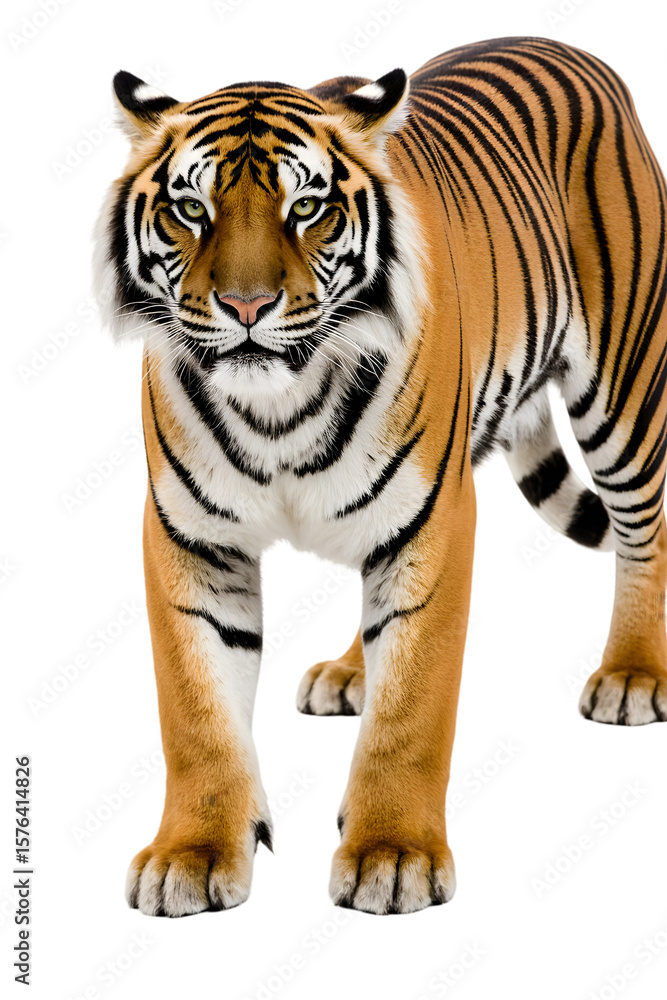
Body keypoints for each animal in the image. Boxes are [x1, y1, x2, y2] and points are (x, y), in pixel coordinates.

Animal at [94, 35, 667, 917]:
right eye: (191, 210)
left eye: (306, 208)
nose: (246, 306)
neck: (279, 407)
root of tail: (569, 46)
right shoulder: (190, 536)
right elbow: (195, 710)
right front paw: (188, 855)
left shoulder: (437, 517)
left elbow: (414, 703)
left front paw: (392, 855)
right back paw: (349, 672)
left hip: (624, 388)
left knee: (645, 531)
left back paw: (634, 673)